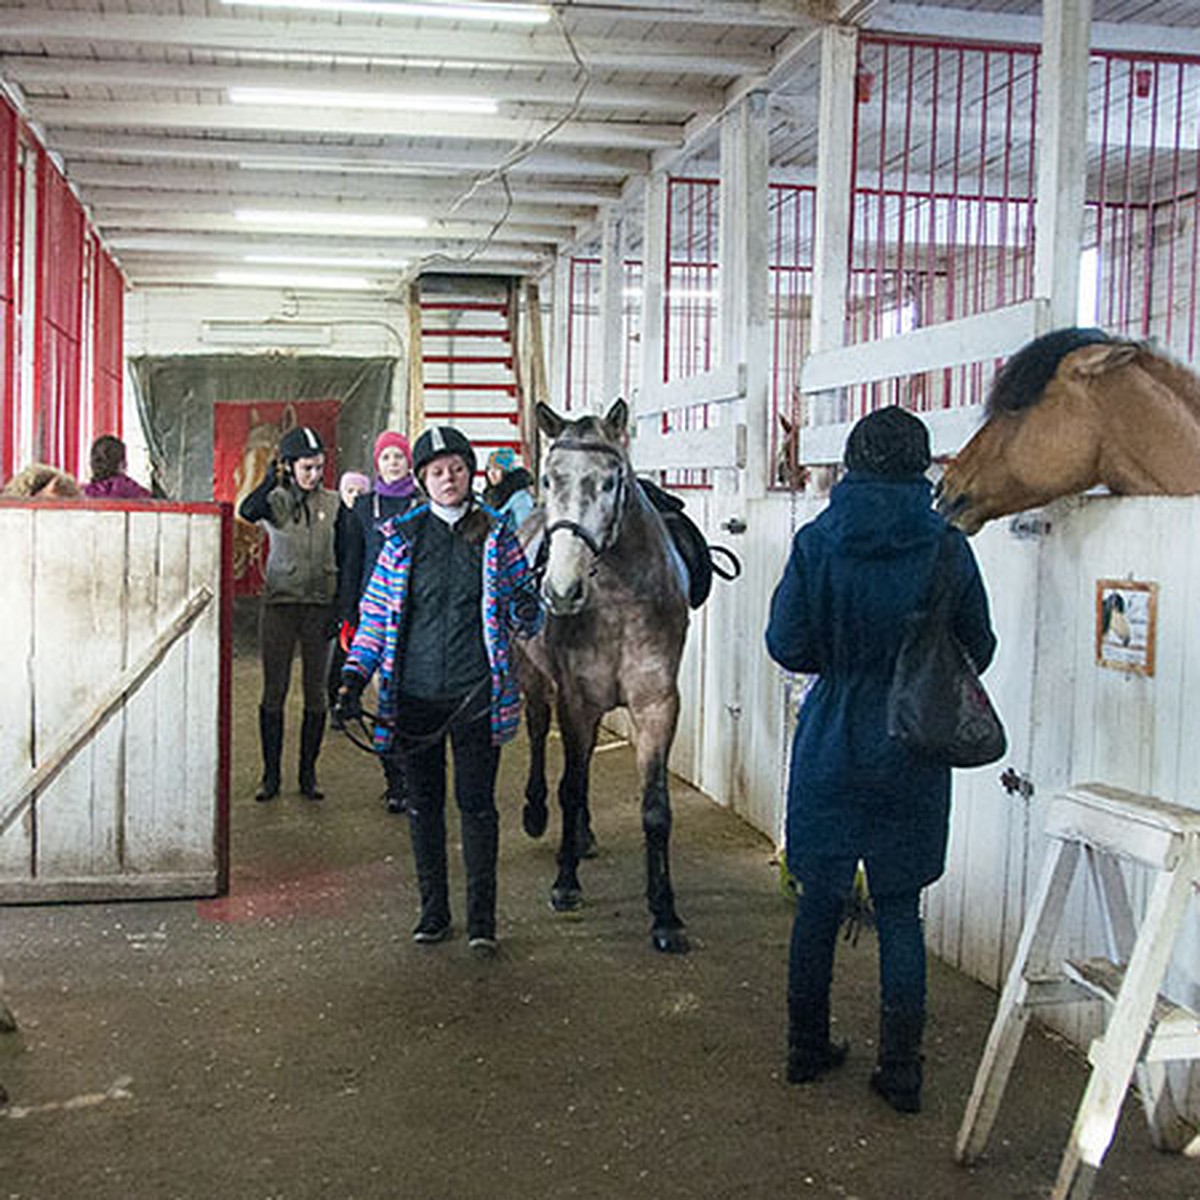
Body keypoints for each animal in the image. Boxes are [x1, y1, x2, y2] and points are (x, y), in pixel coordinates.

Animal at [518, 398, 696, 950]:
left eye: (612, 481)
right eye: (550, 478)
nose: (561, 590)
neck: (616, 602)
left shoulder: (657, 704)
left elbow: (655, 809)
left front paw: (665, 913)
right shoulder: (577, 700)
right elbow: (571, 788)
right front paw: (565, 884)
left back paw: (585, 836)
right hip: (531, 677)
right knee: (539, 735)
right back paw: (537, 815)